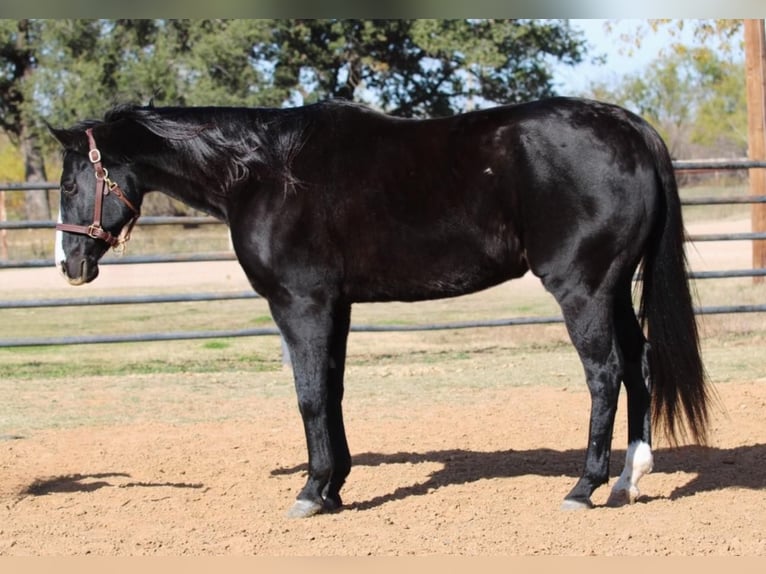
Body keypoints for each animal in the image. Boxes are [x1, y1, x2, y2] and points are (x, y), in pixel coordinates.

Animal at [49, 98, 712, 516]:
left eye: (68, 182)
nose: (68, 264)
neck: (264, 172)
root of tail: (632, 128)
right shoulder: (334, 306)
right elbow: (333, 391)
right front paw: (335, 487)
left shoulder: (300, 304)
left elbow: (309, 396)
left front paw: (311, 492)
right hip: (614, 286)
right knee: (639, 365)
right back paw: (629, 480)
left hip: (583, 288)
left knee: (605, 374)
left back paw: (584, 487)